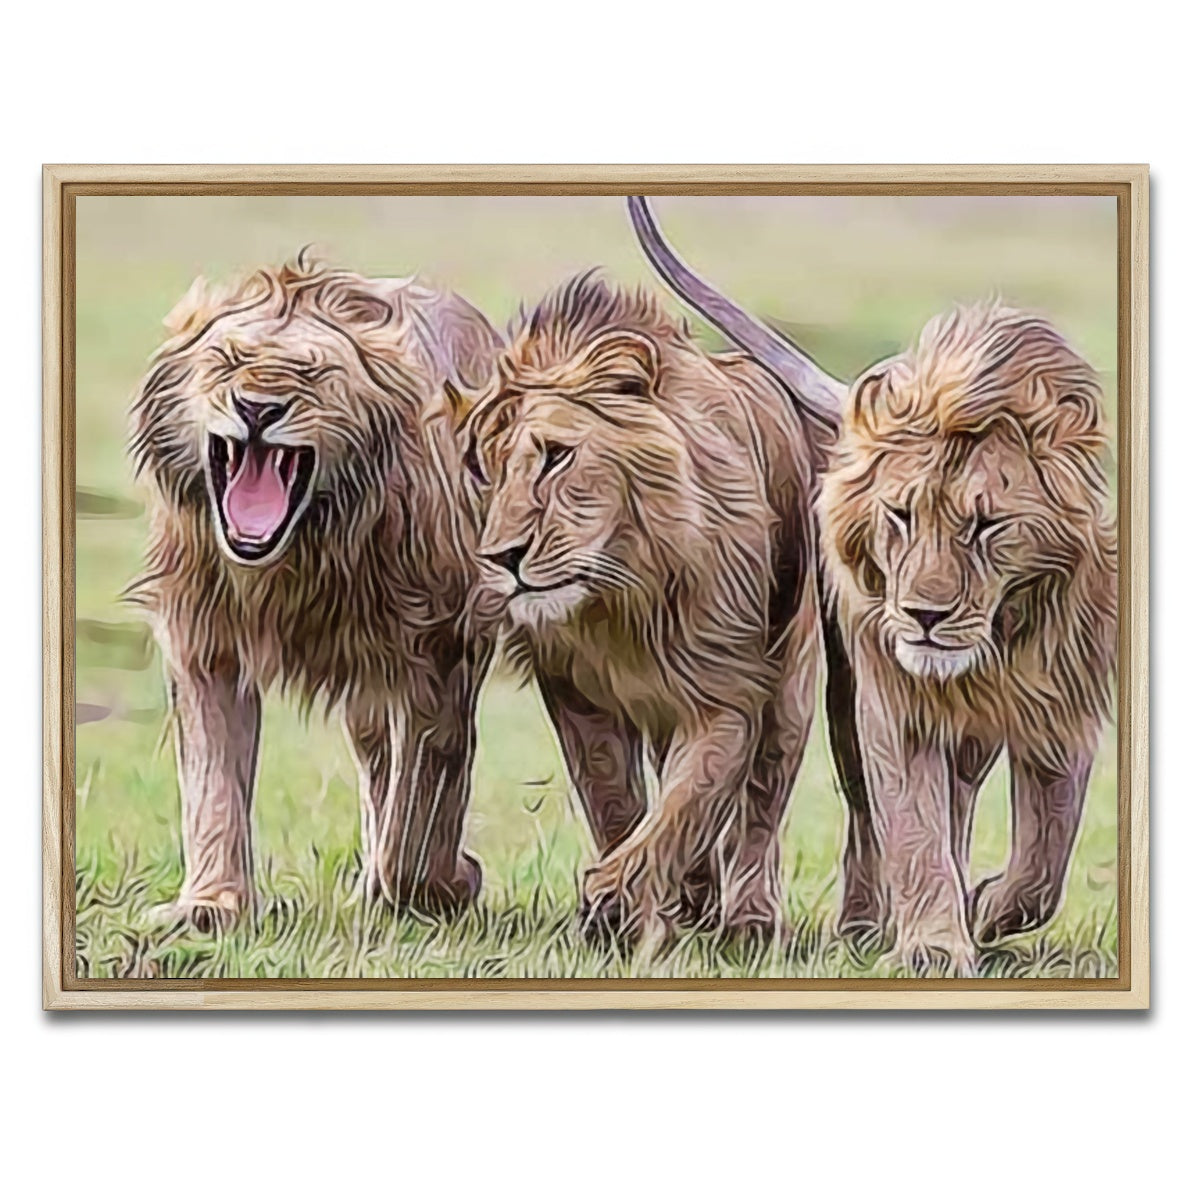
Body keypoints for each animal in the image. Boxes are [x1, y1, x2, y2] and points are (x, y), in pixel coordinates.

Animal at [128, 257, 502, 930]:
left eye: (312, 372)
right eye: (227, 359)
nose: (256, 408)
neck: (298, 556)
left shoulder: (440, 649)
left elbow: (425, 799)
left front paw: (444, 885)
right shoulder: (205, 641)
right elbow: (212, 780)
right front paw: (210, 904)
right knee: (376, 761)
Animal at [461, 272, 828, 945]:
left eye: (556, 455)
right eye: (487, 471)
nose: (502, 557)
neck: (623, 594)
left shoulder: (728, 691)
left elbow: (688, 801)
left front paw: (614, 897)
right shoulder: (575, 694)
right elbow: (616, 801)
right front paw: (631, 904)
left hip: (791, 682)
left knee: (763, 801)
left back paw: (750, 919)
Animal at [817, 303, 1118, 972]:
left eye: (986, 525)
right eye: (901, 515)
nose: (923, 616)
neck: (998, 644)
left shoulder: (1064, 703)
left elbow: (1044, 860)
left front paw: (982, 909)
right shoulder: (896, 703)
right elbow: (913, 826)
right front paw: (931, 945)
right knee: (870, 817)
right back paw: (862, 927)